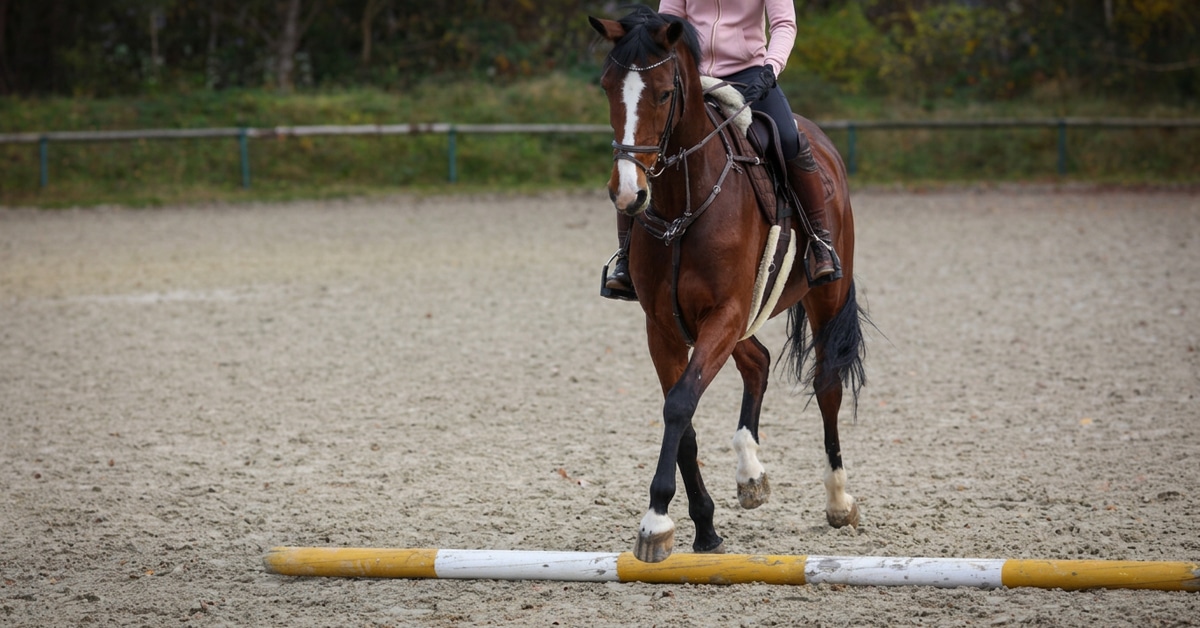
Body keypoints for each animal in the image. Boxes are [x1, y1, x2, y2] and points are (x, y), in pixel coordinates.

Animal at [589, 7, 868, 563]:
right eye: (608, 86)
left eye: (664, 94)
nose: (628, 193)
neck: (684, 200)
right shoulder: (665, 326)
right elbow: (684, 418)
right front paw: (703, 526)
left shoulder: (724, 312)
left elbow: (679, 404)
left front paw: (656, 520)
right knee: (757, 362)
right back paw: (750, 473)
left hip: (822, 296)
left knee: (826, 384)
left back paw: (838, 500)